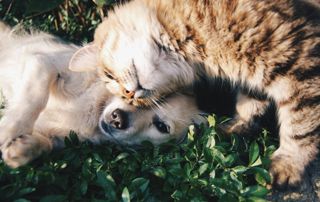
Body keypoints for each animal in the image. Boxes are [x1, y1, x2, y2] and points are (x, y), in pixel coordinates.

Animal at [70, 0, 320, 188]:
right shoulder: (254, 75)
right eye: (125, 96)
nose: (131, 94)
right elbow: (249, 105)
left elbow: (300, 126)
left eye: (109, 76)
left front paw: (288, 165)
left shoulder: (298, 60)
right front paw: (235, 128)